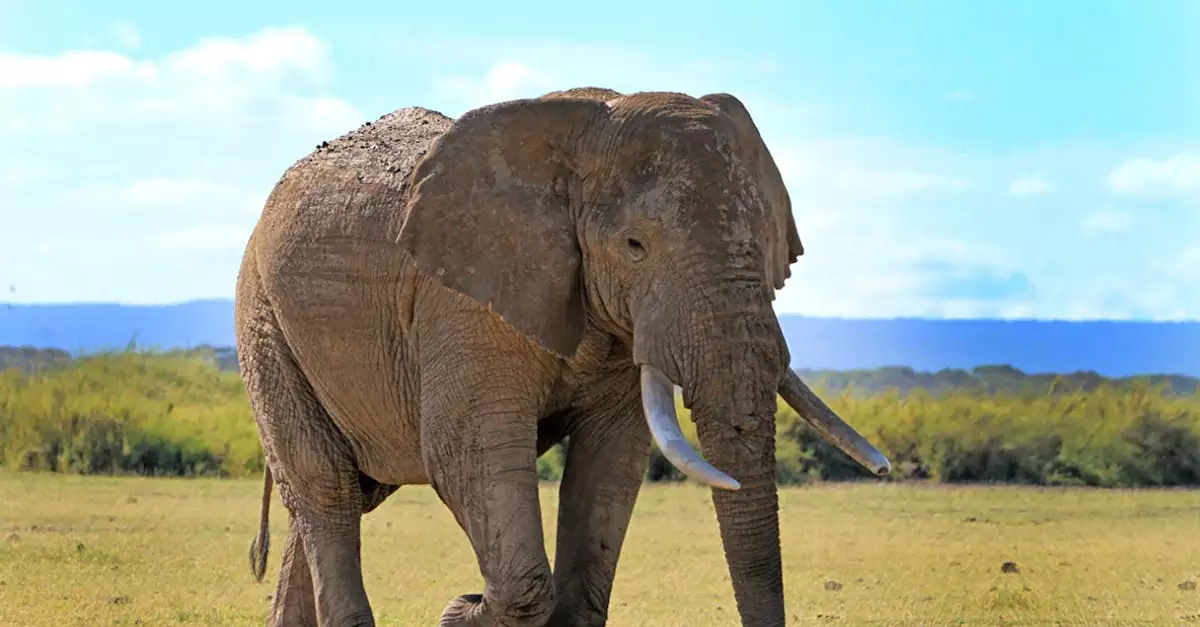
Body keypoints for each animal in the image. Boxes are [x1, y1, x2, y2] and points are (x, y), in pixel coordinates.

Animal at [235, 85, 890, 627]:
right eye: (634, 246)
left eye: (764, 240)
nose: (884, 470)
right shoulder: (463, 303)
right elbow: (464, 453)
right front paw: (461, 610)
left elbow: (613, 458)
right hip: (262, 318)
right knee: (327, 489)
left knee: (345, 492)